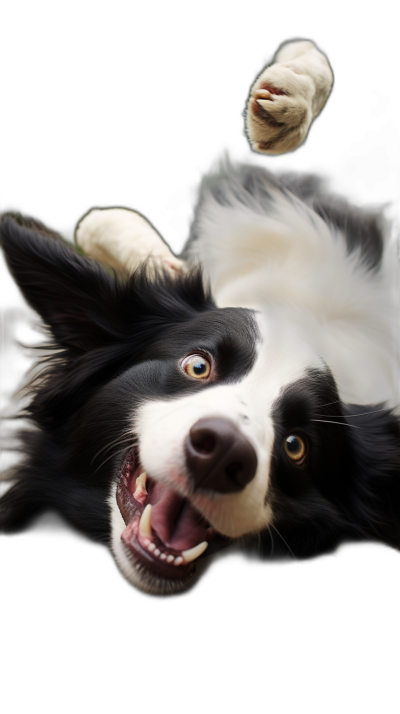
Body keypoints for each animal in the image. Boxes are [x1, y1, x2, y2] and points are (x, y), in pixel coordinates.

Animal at [0, 40, 400, 596]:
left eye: (297, 446)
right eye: (197, 365)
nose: (223, 453)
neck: (297, 315)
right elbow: (103, 223)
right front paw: (285, 102)